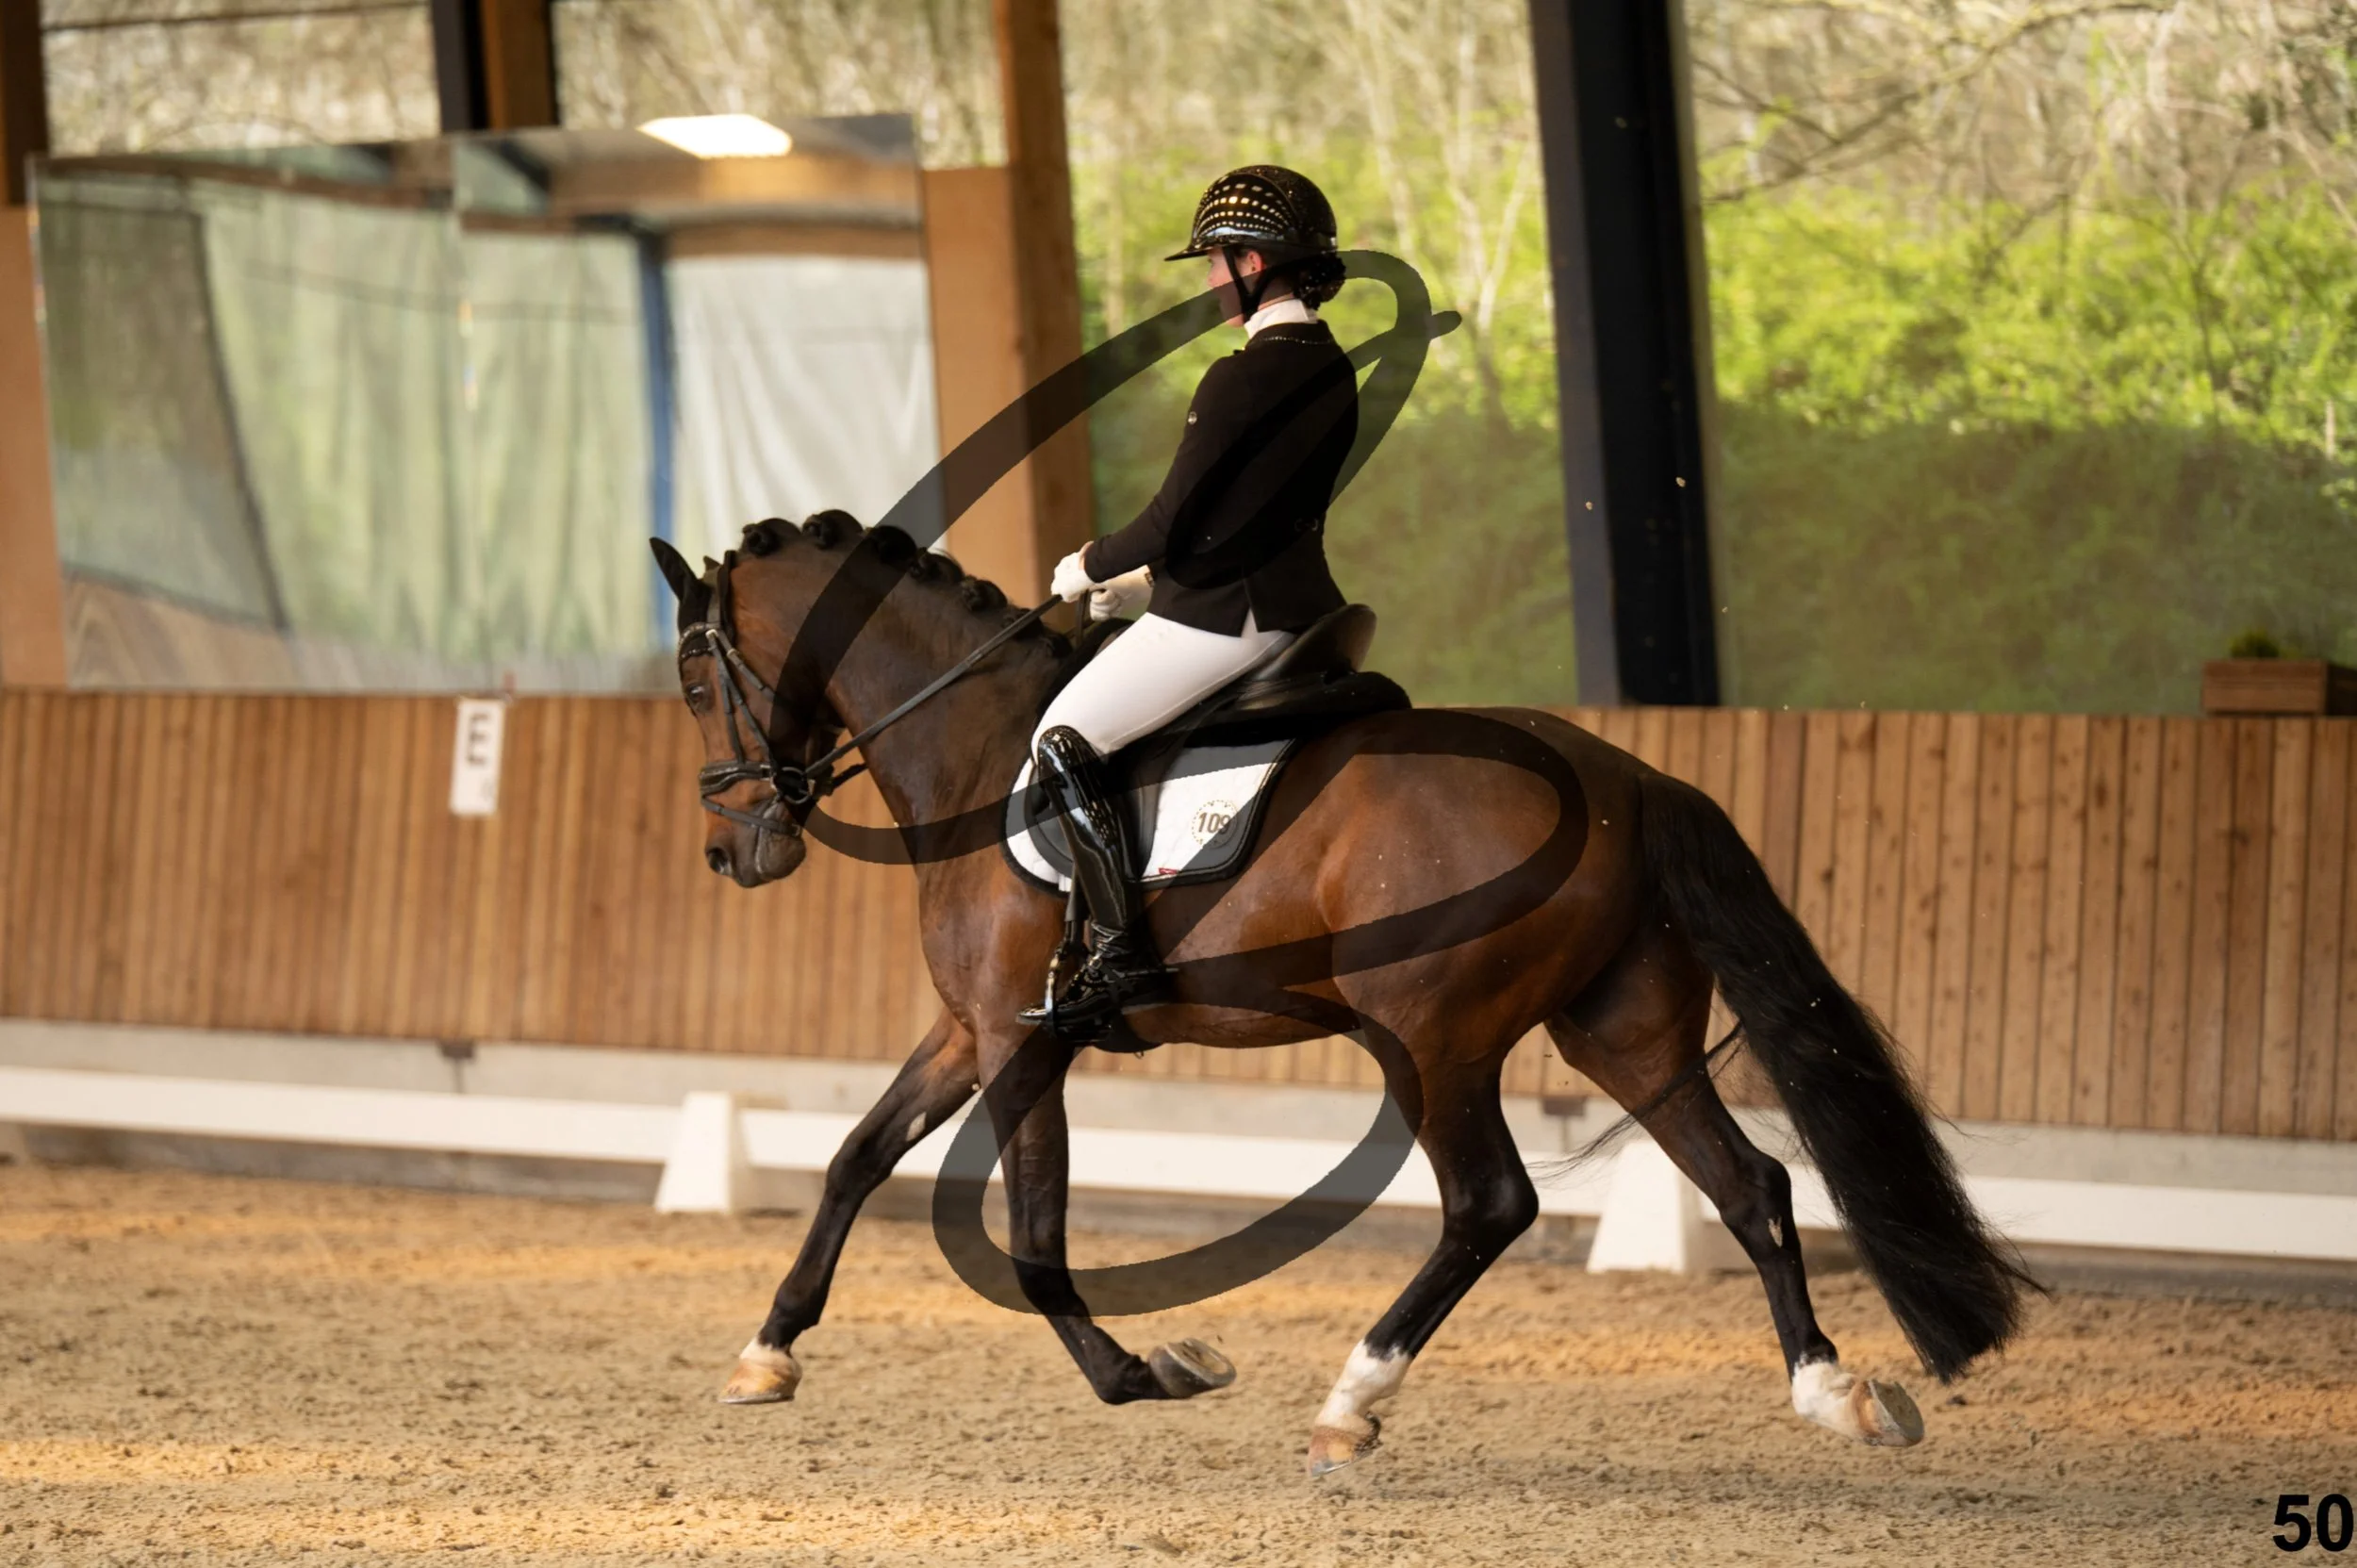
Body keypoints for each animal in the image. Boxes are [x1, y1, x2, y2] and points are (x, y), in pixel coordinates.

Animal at [650, 510, 2034, 1477]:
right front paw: (767, 1352)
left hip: (1429, 1036)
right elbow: (853, 1159)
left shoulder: (1016, 1038)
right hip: (1624, 1032)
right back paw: (1833, 1391)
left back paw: (1348, 1405)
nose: (732, 850)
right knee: (1749, 1186)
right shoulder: (966, 1028)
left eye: (696, 679)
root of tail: (1625, 780)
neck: (979, 747)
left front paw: (1153, 1368)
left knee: (1491, 1202)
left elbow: (1035, 1247)